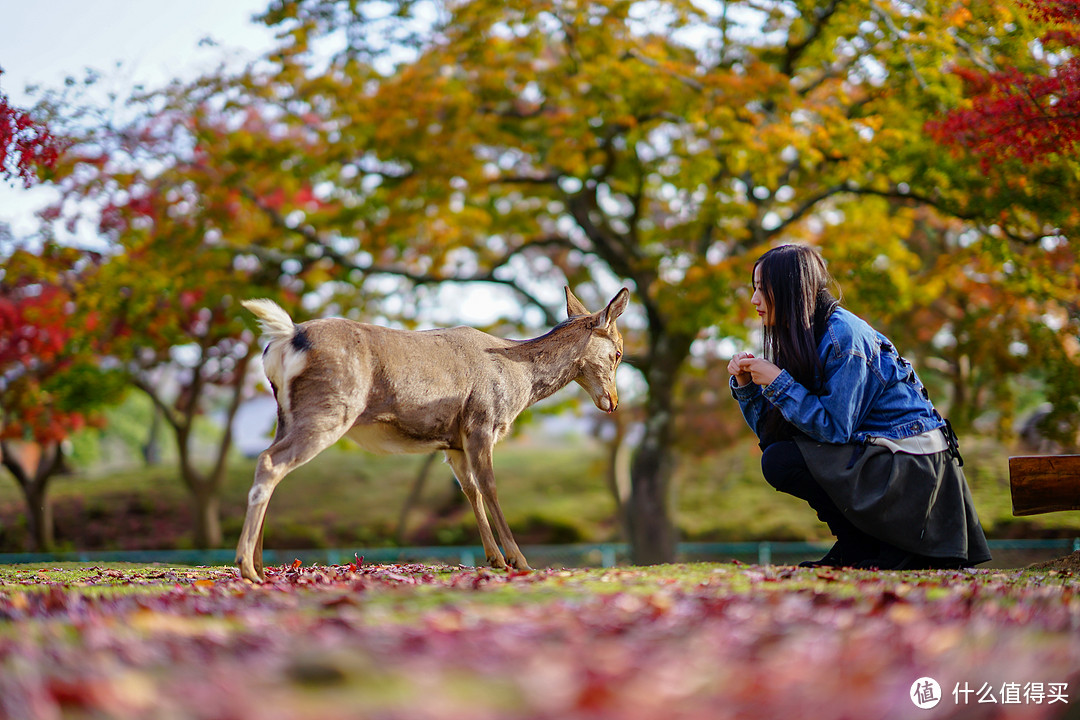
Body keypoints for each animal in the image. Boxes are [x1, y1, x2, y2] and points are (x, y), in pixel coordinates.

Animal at [232, 284, 630, 582]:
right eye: (618, 353)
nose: (612, 401)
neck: (519, 383)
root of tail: (286, 336)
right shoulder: (482, 420)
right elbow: (490, 486)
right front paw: (518, 560)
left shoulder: (453, 443)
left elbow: (470, 491)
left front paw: (494, 559)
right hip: (331, 407)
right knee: (270, 462)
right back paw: (247, 567)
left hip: (286, 413)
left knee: (271, 465)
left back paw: (261, 566)